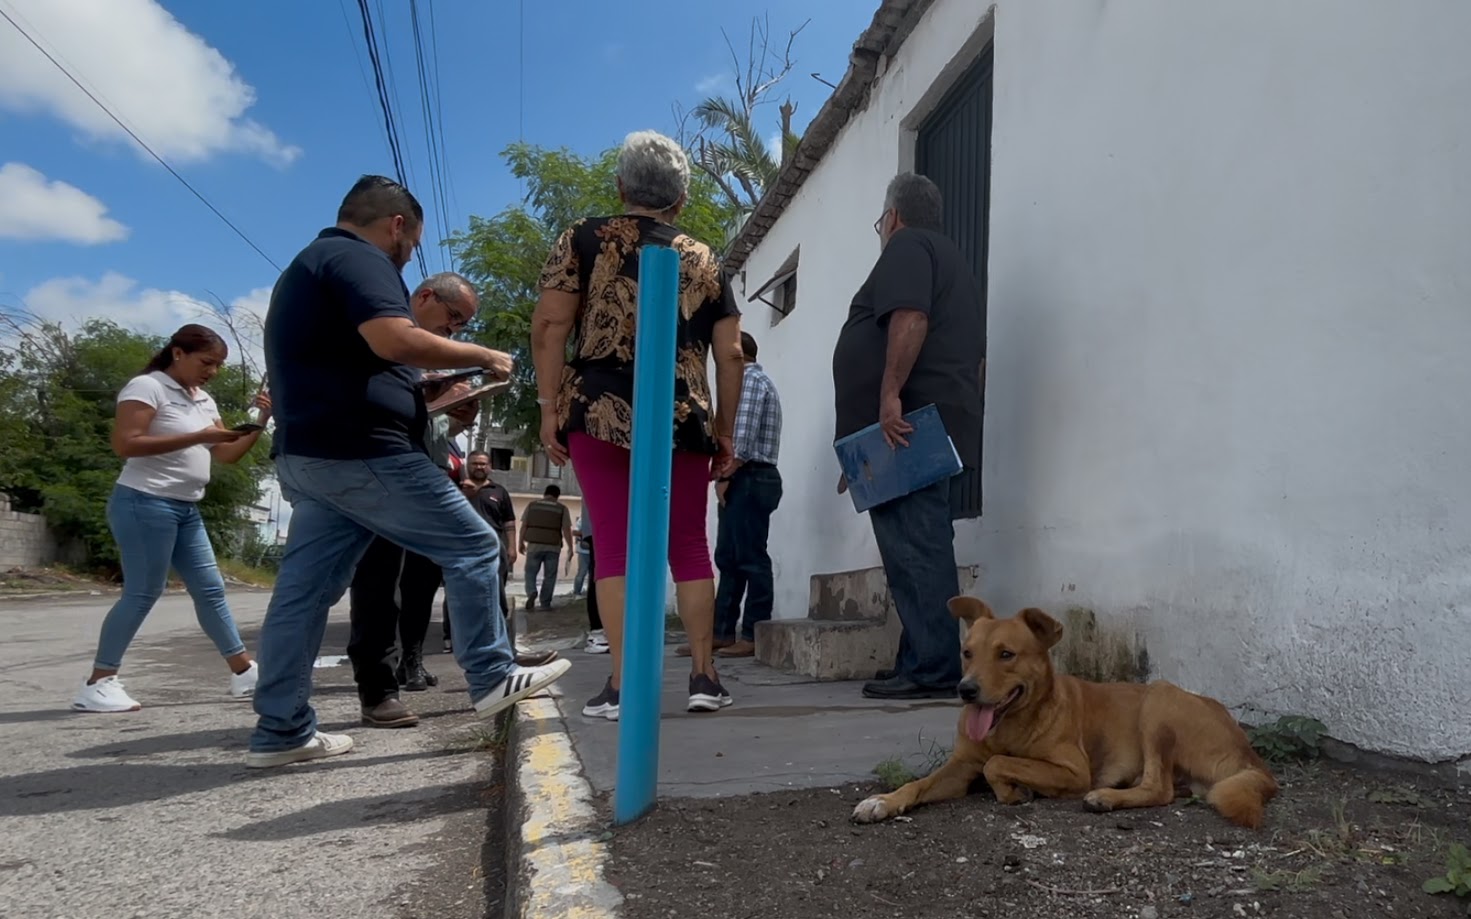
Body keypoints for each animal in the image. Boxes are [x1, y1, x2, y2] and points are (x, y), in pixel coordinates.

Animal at [853, 599, 1276, 829]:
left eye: (1006, 654)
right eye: (967, 652)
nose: (966, 690)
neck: (1010, 725)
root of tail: (1252, 756)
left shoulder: (1073, 771)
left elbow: (997, 764)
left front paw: (1014, 791)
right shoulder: (959, 766)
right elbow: (919, 783)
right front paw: (883, 801)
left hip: (1159, 701)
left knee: (1160, 788)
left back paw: (1105, 797)